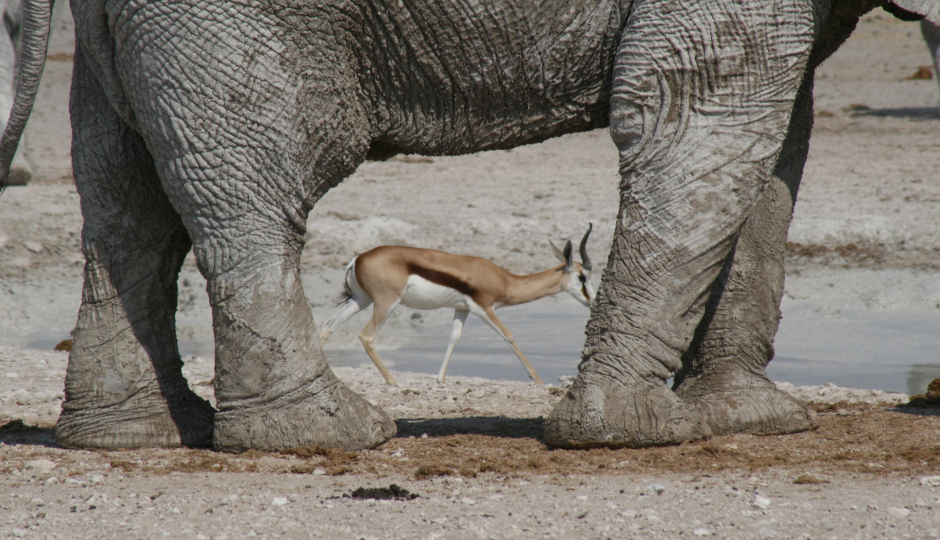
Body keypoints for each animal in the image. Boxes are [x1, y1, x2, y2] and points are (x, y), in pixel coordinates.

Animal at [1, 0, 940, 452]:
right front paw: (626, 431)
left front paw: (752, 419)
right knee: (250, 192)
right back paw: (329, 436)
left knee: (126, 204)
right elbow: (696, 122)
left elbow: (777, 152)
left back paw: (137, 436)